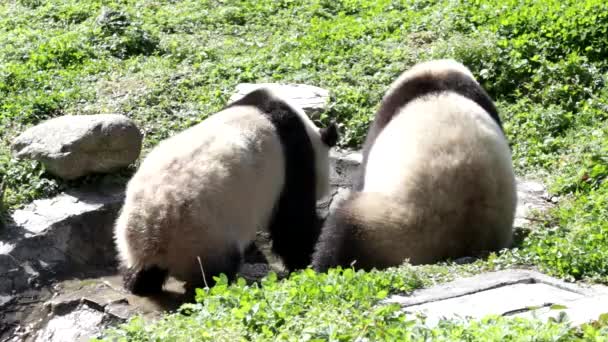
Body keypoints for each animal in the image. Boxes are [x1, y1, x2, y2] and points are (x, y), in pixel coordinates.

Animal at [114, 87, 340, 296]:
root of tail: (155, 230)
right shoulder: (293, 160)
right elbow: (292, 224)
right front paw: (307, 258)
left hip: (132, 237)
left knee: (140, 270)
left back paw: (138, 285)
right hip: (205, 236)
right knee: (215, 273)